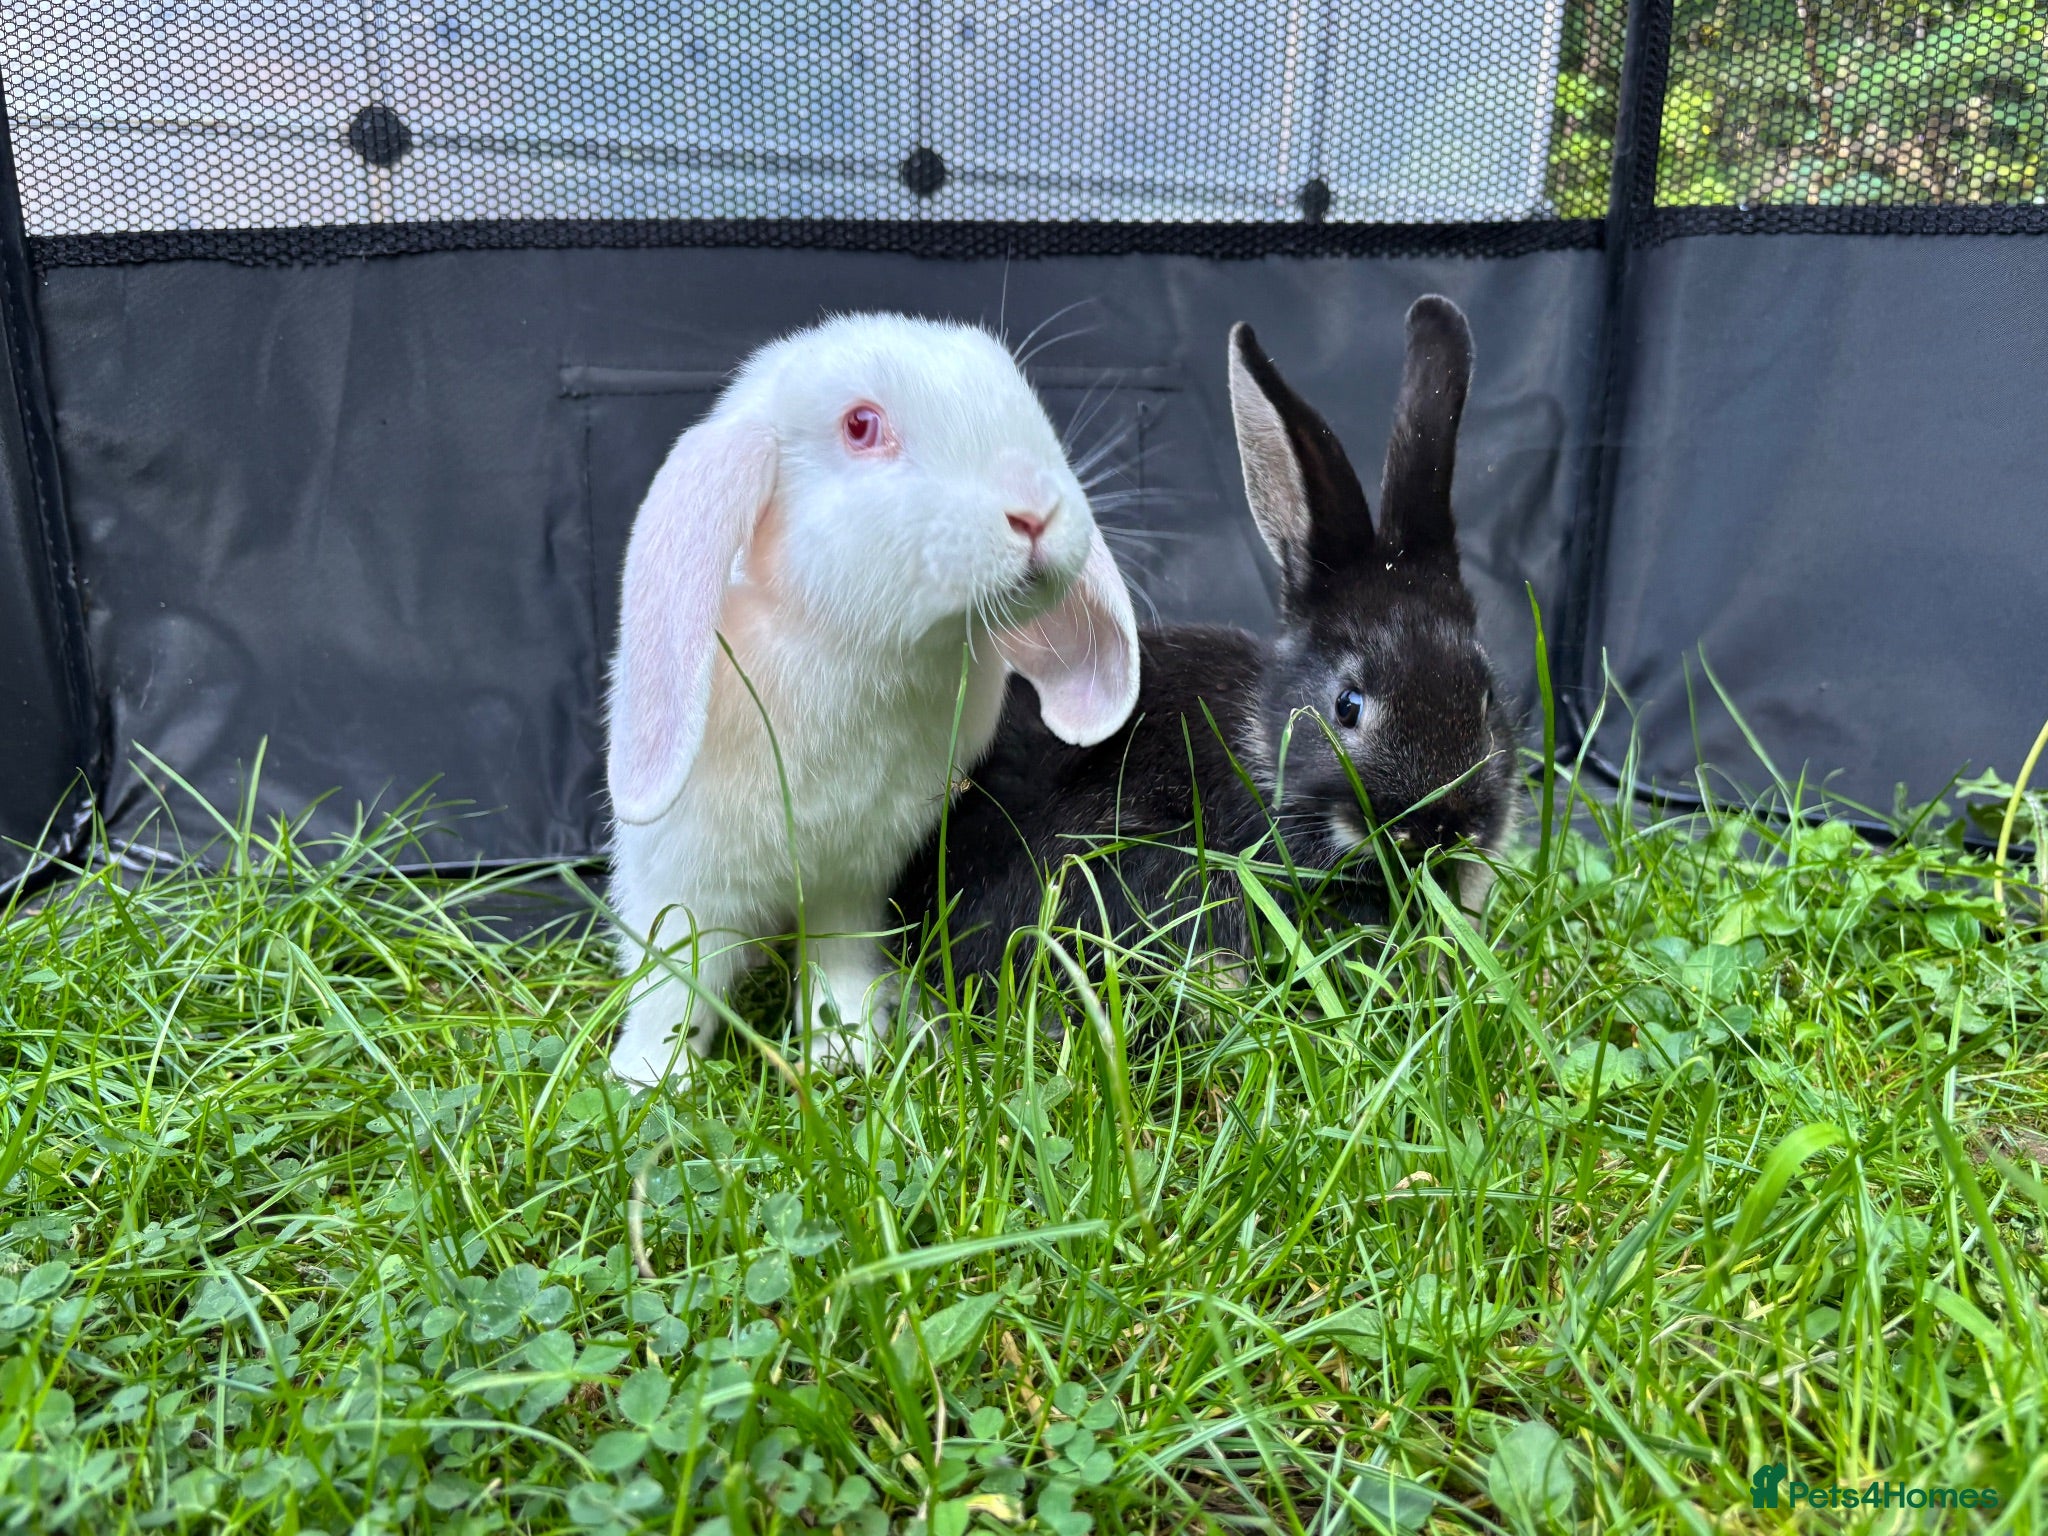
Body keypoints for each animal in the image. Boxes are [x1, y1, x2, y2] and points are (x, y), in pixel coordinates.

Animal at [605, 312, 1140, 1086]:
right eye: (860, 426)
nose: (1037, 512)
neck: (855, 649)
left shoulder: (855, 875)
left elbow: (838, 954)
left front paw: (847, 1047)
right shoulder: (683, 881)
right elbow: (678, 978)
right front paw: (650, 1079)